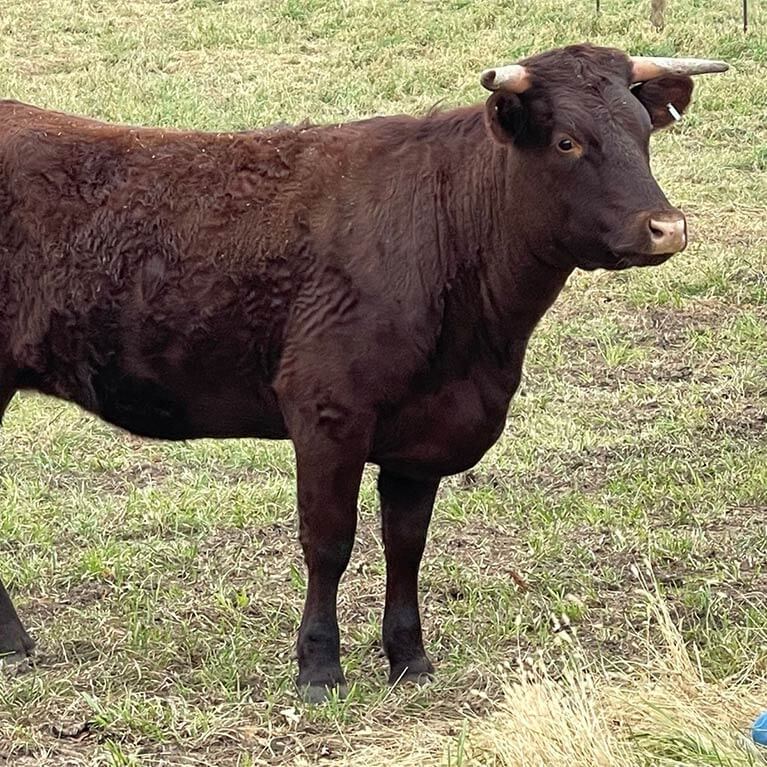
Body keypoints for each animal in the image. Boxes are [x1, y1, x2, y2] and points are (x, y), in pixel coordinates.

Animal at [0, 44, 727, 702]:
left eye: (642, 134)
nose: (666, 227)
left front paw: (409, 658)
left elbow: (405, 543)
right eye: (566, 141)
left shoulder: (425, 435)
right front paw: (320, 667)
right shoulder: (327, 412)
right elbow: (328, 541)